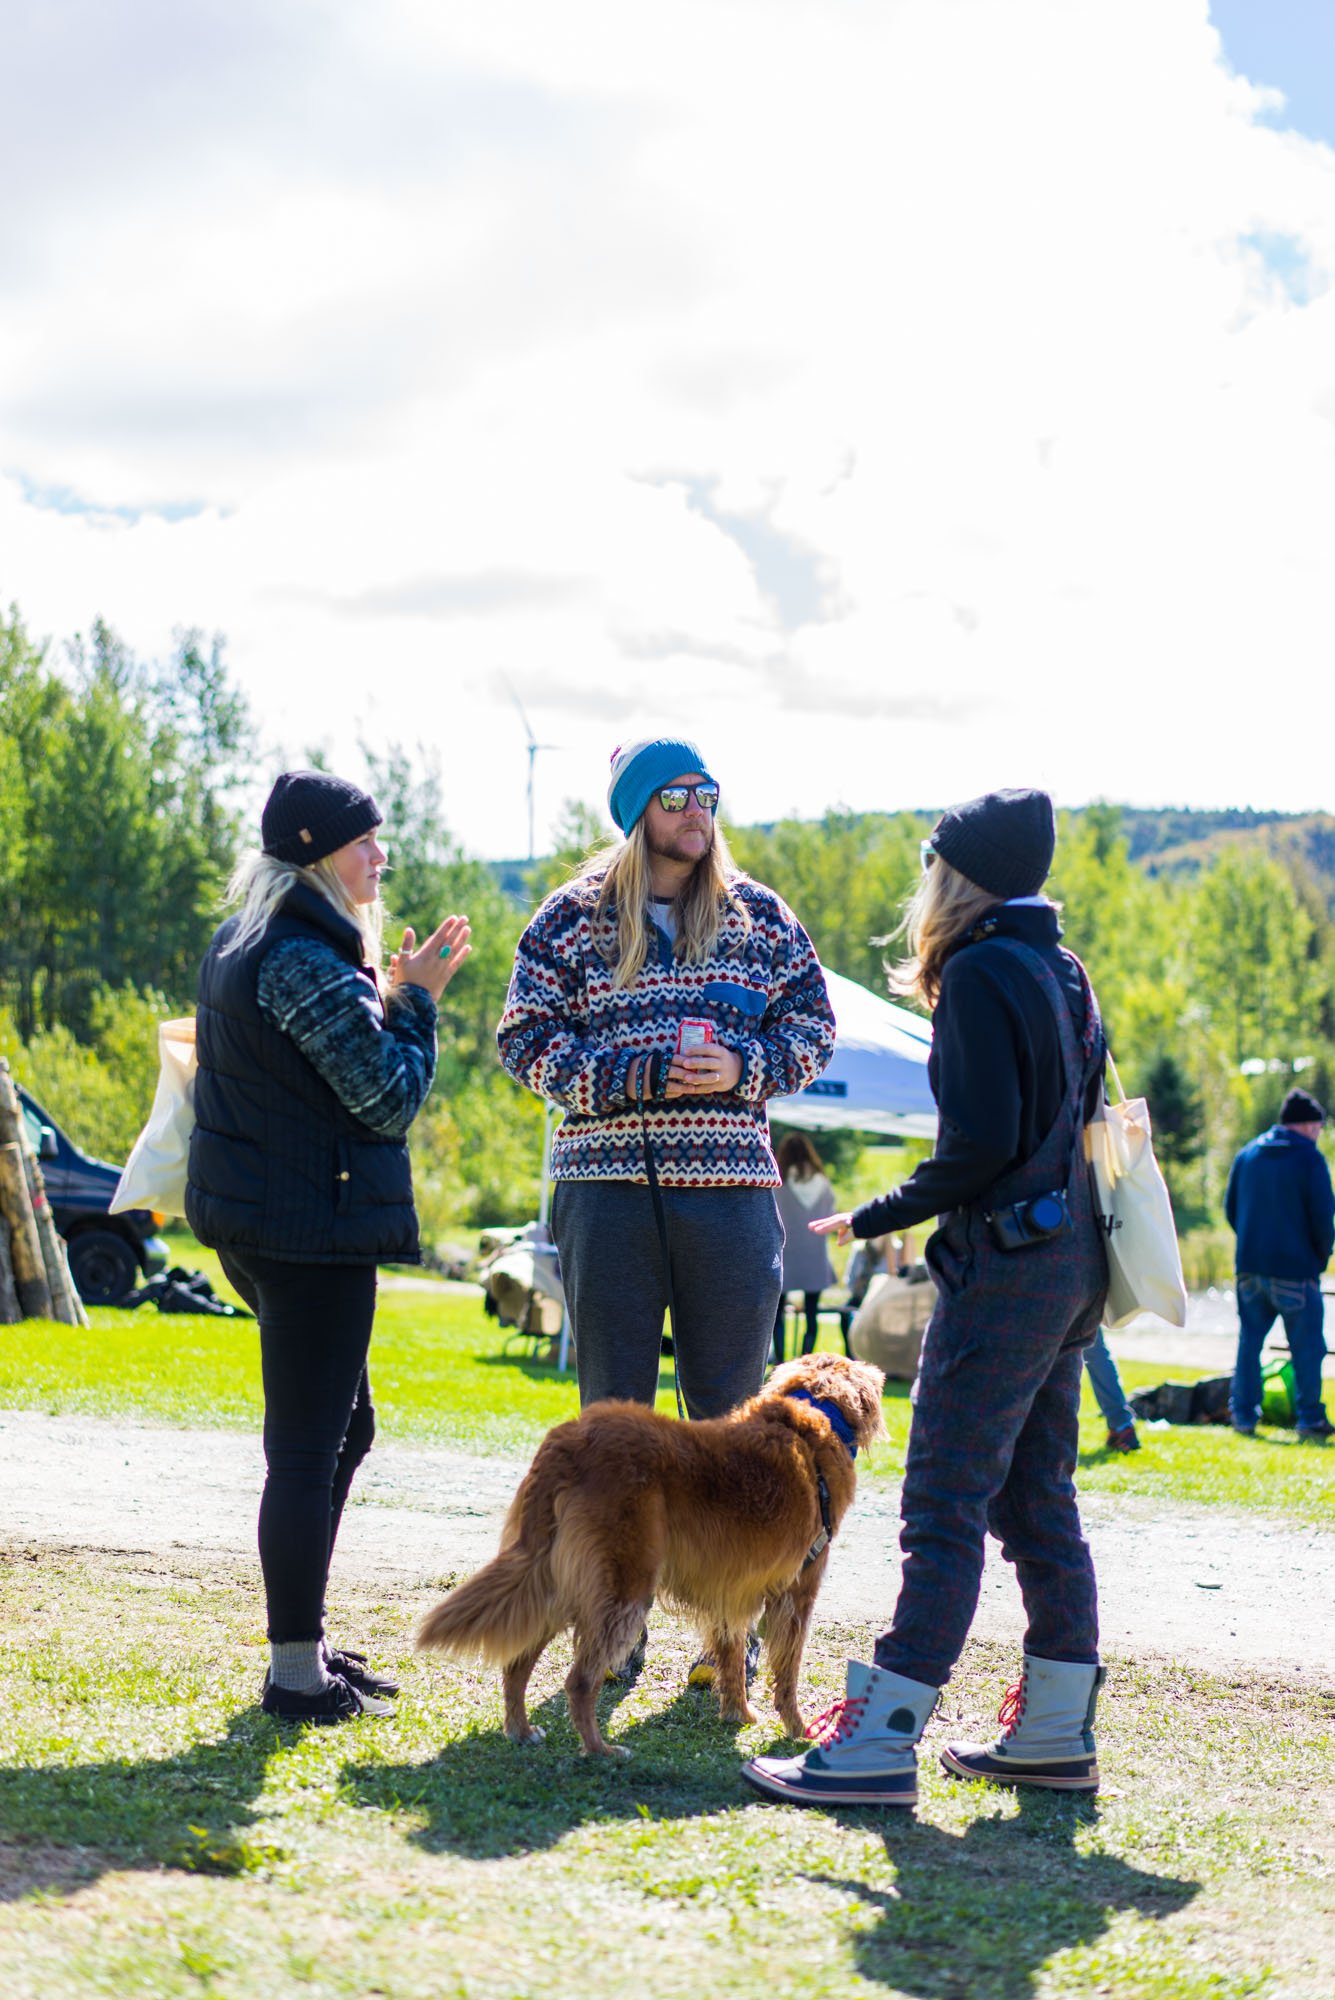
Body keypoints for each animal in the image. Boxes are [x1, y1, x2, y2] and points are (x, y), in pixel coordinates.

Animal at [411, 1352, 879, 1760]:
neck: (812, 1414)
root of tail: (569, 1441)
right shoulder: (796, 1595)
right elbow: (788, 1672)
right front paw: (798, 1728)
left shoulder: (730, 1594)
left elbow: (731, 1662)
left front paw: (738, 1714)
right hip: (624, 1586)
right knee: (579, 1680)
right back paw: (599, 1750)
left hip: (556, 1581)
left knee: (517, 1664)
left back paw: (521, 1730)